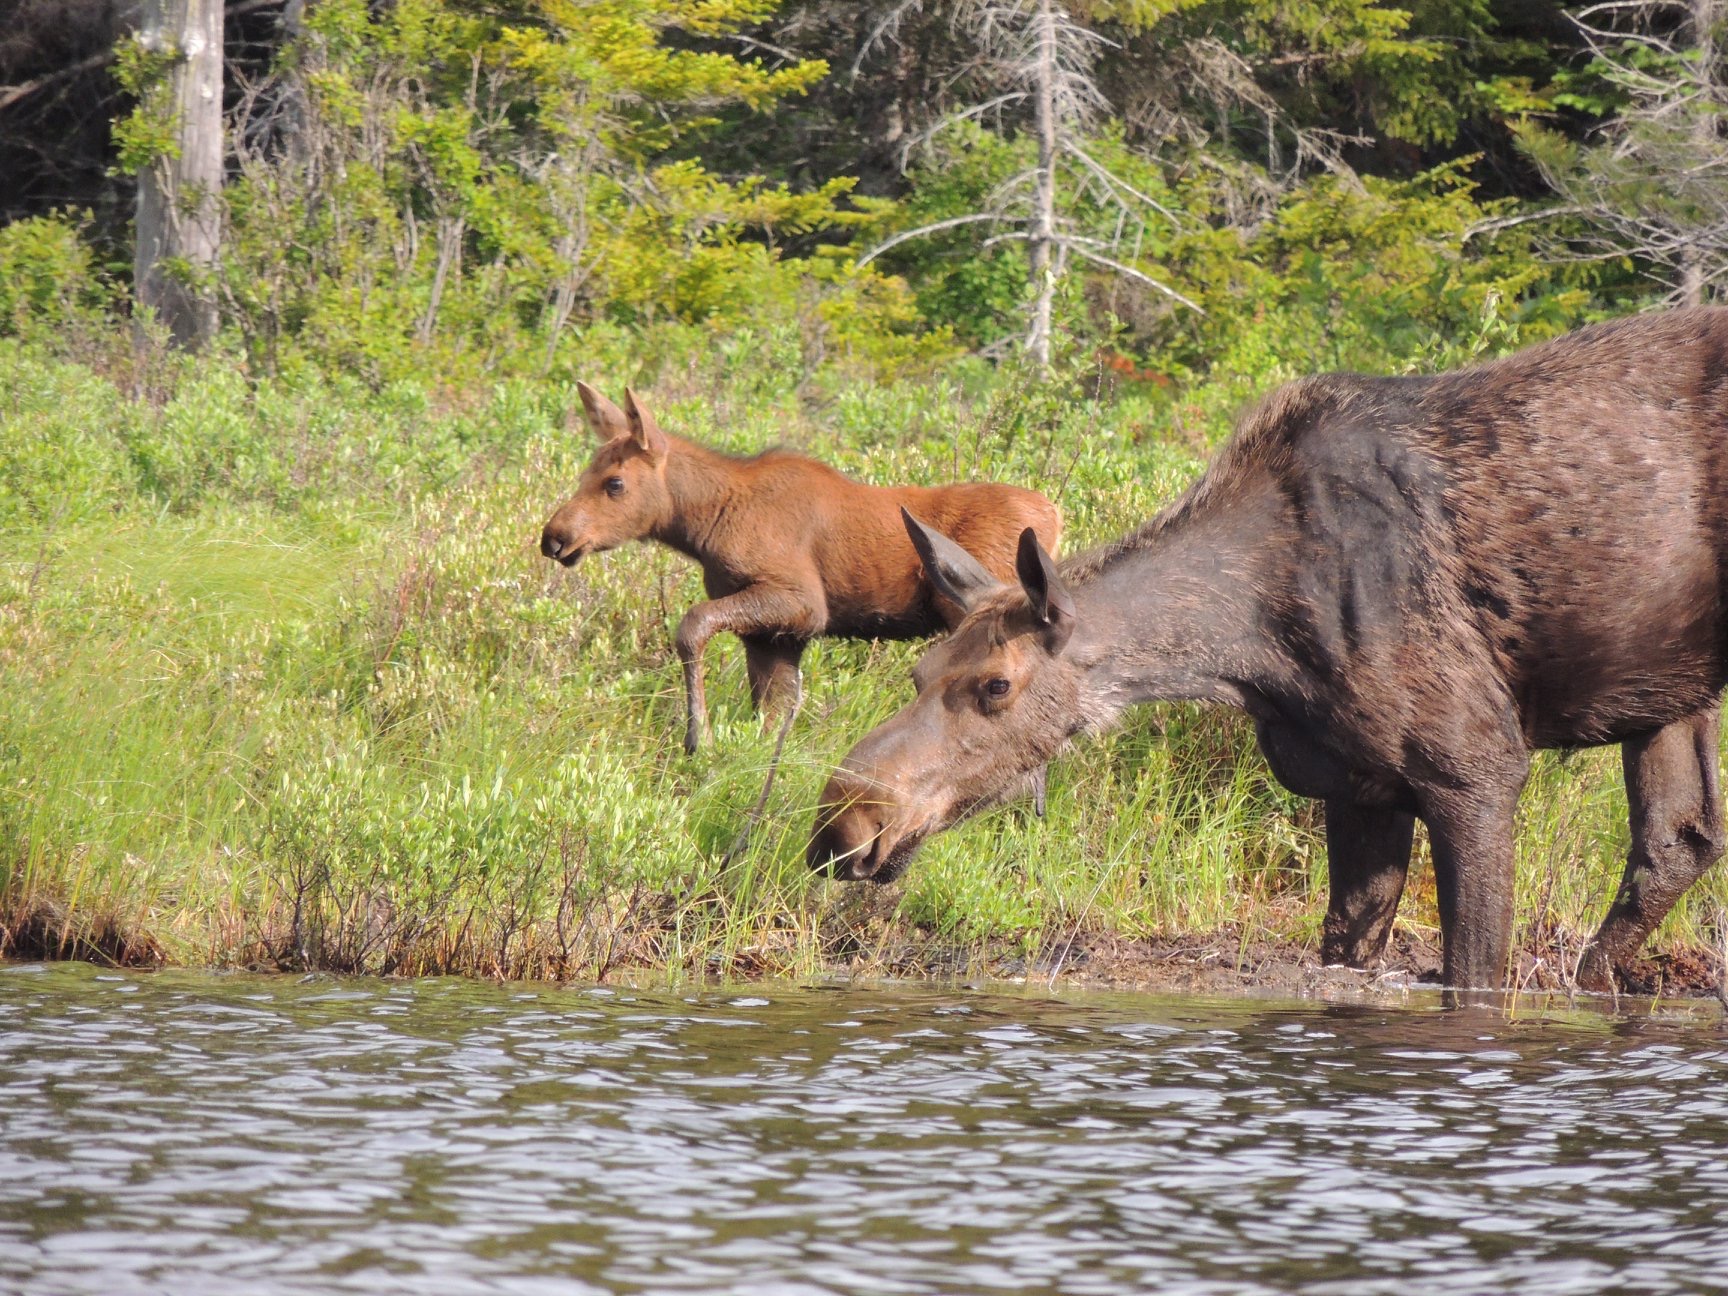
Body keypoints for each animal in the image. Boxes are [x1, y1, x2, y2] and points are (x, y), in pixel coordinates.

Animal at [539, 380, 1057, 756]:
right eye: (584, 473)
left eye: (615, 483)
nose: (554, 537)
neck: (704, 525)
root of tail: (1056, 513)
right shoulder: (775, 636)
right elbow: (772, 714)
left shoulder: (802, 602)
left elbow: (692, 624)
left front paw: (698, 737)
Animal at [808, 312, 1728, 995]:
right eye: (919, 671)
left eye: (996, 686)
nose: (842, 824)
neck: (1251, 649)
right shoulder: (1361, 782)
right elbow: (1346, 948)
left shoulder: (1476, 765)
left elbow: (1474, 976)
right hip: (1667, 689)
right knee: (1678, 839)